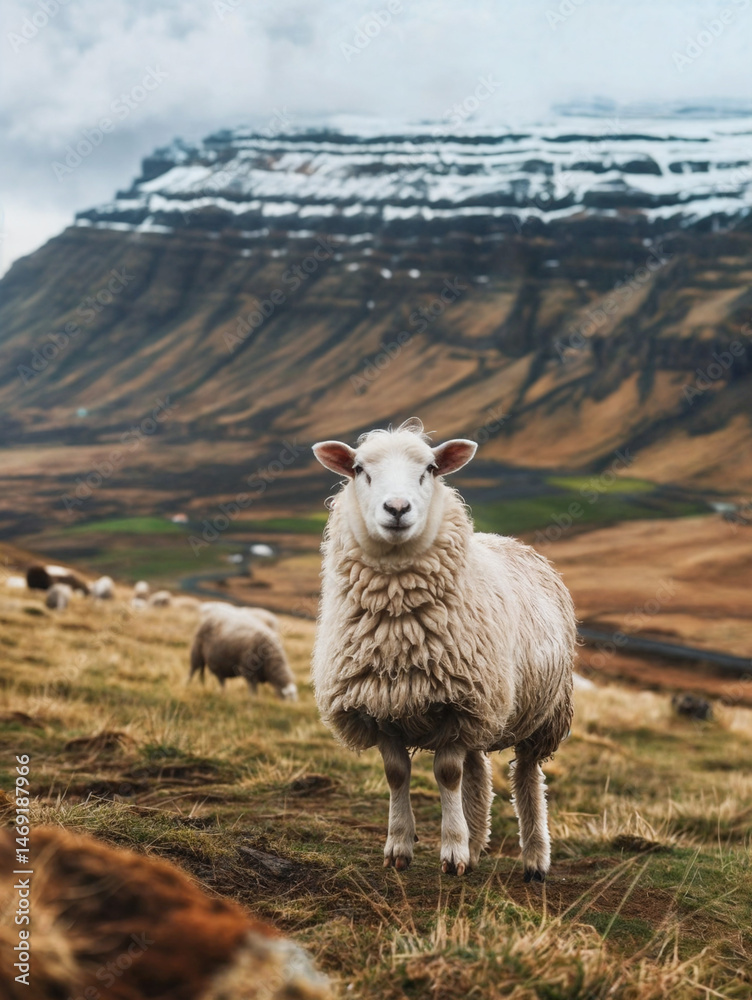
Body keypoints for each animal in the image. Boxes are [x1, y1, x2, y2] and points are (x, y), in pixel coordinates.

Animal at [312, 418, 575, 881]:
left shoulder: (460, 703)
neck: (398, 629)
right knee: (479, 772)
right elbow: (397, 773)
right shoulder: (381, 706)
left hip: (541, 713)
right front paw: (399, 846)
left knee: (527, 776)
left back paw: (534, 858)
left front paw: (453, 851)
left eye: (430, 470)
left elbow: (447, 774)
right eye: (360, 469)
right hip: (486, 711)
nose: (397, 508)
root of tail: (514, 542)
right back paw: (478, 839)